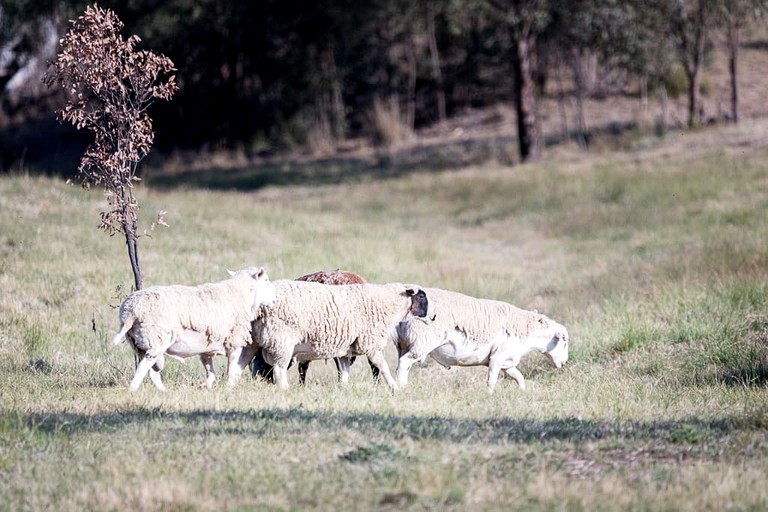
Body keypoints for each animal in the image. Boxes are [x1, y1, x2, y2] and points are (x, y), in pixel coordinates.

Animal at [109, 266, 274, 390]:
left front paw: (206, 386)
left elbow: (210, 370)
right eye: (266, 280)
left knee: (151, 372)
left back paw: (163, 391)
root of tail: (129, 311)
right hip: (156, 339)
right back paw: (133, 390)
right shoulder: (234, 341)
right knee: (143, 369)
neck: (240, 294)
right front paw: (229, 387)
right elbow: (232, 369)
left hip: (140, 344)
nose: (273, 300)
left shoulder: (206, 347)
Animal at [252, 278, 432, 390]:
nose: (434, 317)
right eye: (422, 296)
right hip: (282, 339)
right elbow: (383, 367)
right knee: (278, 369)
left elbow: (345, 371)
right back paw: (285, 388)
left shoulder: (346, 349)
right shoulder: (371, 343)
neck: (388, 304)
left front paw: (343, 388)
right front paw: (394, 387)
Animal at [396, 288, 568, 392]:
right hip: (421, 343)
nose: (565, 362)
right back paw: (402, 388)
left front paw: (523, 392)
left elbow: (518, 377)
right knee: (404, 363)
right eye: (564, 340)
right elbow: (491, 381)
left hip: (404, 345)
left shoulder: (506, 361)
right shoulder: (497, 358)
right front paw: (489, 396)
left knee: (402, 366)